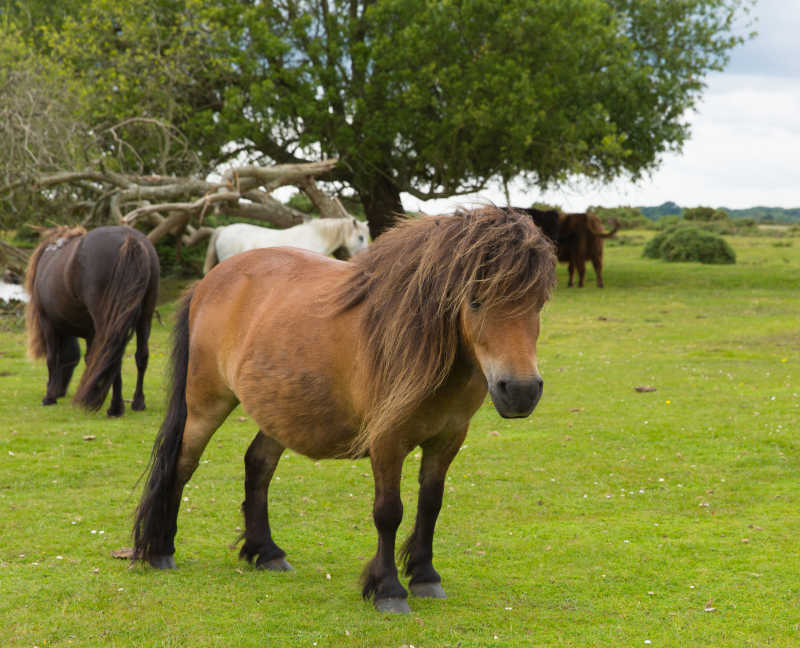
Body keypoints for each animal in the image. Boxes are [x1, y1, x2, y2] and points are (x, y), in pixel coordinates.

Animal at [25, 224, 160, 416]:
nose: (59, 392)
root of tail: (129, 238)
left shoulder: (48, 323)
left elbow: (52, 358)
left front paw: (49, 397)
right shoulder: (91, 332)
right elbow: (91, 359)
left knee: (113, 355)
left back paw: (115, 407)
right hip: (145, 317)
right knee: (140, 355)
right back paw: (137, 402)